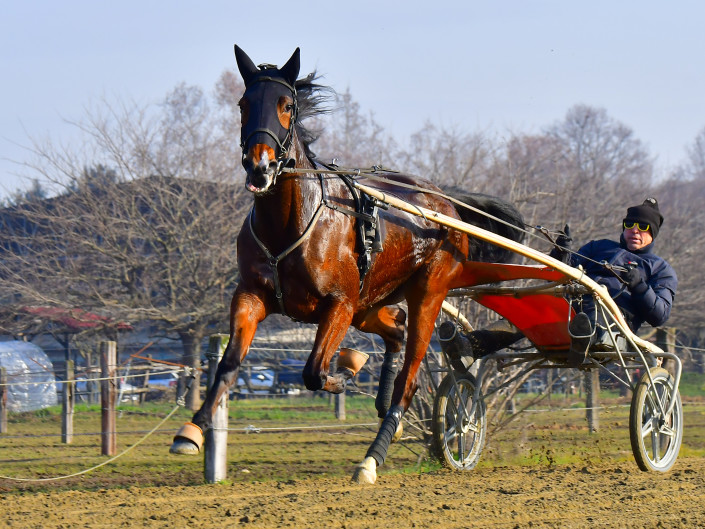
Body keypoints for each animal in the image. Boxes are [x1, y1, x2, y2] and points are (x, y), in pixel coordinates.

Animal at [169, 45, 524, 482]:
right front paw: (192, 430)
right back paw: (382, 400)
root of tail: (443, 200)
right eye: (244, 103)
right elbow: (229, 364)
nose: (260, 166)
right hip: (371, 301)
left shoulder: (338, 303)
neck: (292, 223)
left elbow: (314, 372)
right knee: (396, 329)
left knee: (410, 373)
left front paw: (344, 374)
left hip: (426, 291)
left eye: (287, 105)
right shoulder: (252, 295)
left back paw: (373, 454)